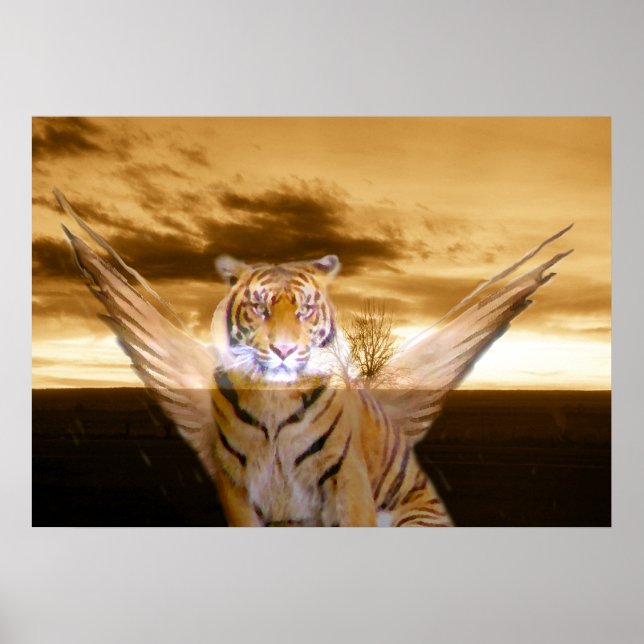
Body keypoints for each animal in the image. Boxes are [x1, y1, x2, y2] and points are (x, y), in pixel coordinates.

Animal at [208, 253, 452, 527]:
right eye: (260, 308)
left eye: (304, 310)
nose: (284, 350)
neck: (275, 396)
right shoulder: (234, 480)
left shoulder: (346, 471)